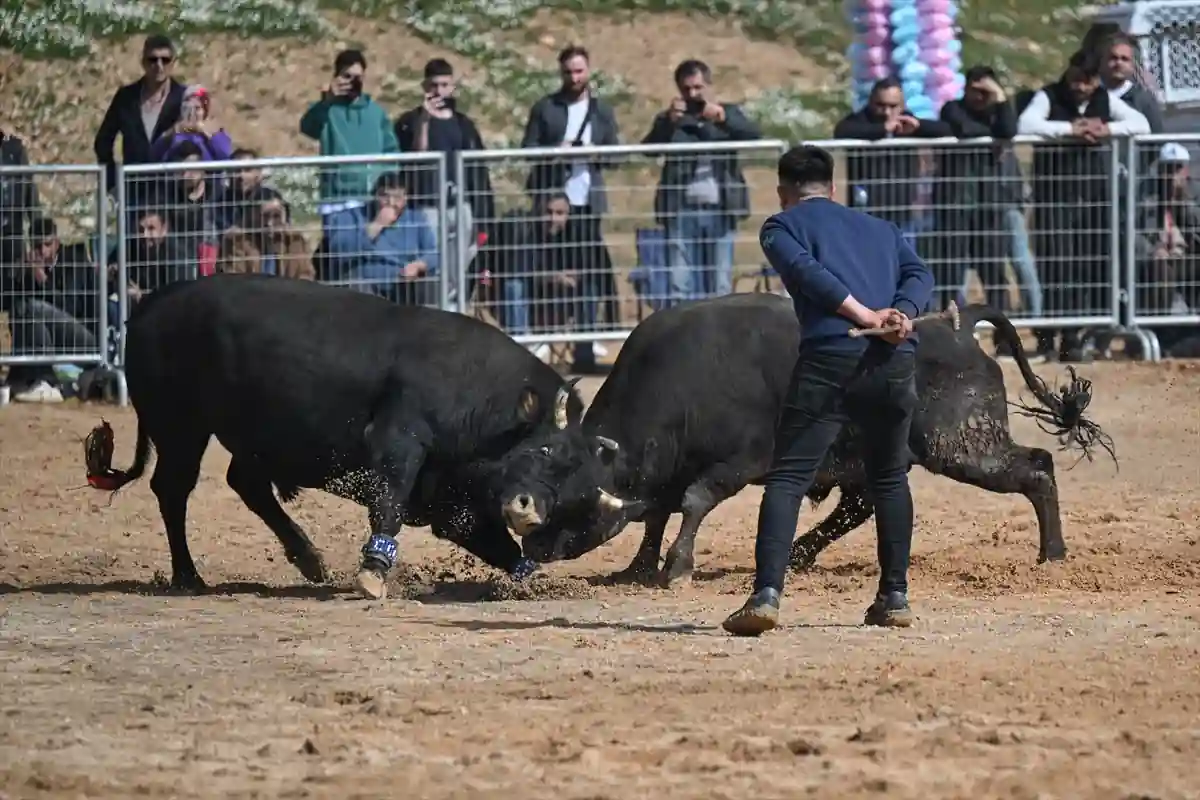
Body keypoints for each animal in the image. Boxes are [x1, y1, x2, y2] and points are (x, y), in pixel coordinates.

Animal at [508, 291, 1113, 585]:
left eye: (577, 498)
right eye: (544, 466)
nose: (530, 542)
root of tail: (957, 327)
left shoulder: (741, 464)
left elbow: (692, 501)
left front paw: (676, 567)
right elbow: (656, 512)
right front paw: (637, 566)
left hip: (965, 447)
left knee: (1037, 468)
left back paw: (1052, 553)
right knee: (860, 506)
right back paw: (799, 553)